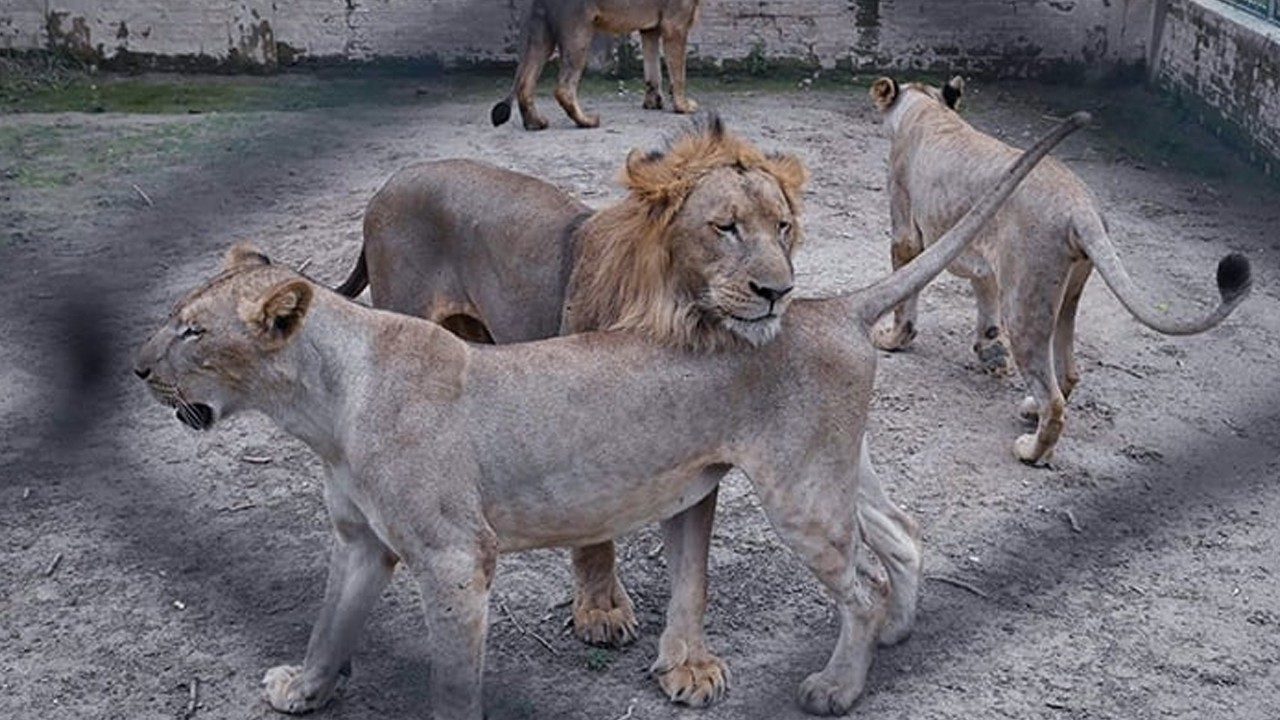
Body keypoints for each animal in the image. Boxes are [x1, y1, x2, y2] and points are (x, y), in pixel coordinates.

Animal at [134, 114, 1083, 718]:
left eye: (192, 330)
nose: (139, 368)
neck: (322, 405)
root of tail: (828, 306)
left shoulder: (455, 560)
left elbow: (453, 684)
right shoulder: (362, 543)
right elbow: (327, 626)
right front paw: (302, 690)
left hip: (800, 494)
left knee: (864, 582)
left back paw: (838, 687)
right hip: (834, 471)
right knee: (903, 536)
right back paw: (898, 637)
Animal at [490, 0, 702, 130]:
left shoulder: (650, 28)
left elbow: (653, 70)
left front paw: (653, 103)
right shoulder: (675, 24)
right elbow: (679, 73)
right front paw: (683, 106)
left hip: (542, 37)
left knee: (525, 84)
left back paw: (535, 123)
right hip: (579, 32)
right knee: (564, 89)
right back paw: (587, 121)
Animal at [868, 75, 1252, 466]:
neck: (927, 109)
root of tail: (1081, 208)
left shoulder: (906, 231)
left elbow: (905, 297)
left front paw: (892, 339)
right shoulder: (982, 254)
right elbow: (984, 298)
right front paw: (990, 351)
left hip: (1024, 302)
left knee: (1052, 398)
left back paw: (1031, 450)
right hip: (1065, 294)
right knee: (1068, 371)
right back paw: (1030, 410)